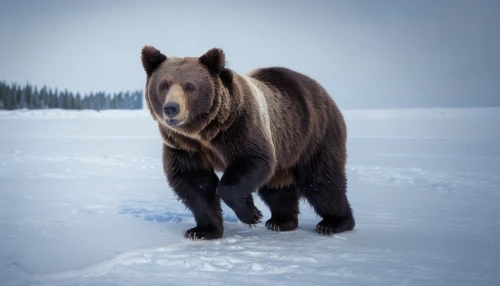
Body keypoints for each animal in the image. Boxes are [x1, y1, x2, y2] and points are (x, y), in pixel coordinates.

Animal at [139, 45, 354, 240]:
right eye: (163, 85)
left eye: (190, 86)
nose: (171, 108)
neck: (205, 131)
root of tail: (322, 91)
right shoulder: (184, 145)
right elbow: (194, 181)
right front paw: (202, 231)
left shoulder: (239, 128)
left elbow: (251, 162)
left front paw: (251, 215)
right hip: (286, 146)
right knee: (277, 187)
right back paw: (282, 221)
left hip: (313, 134)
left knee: (322, 181)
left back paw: (334, 223)